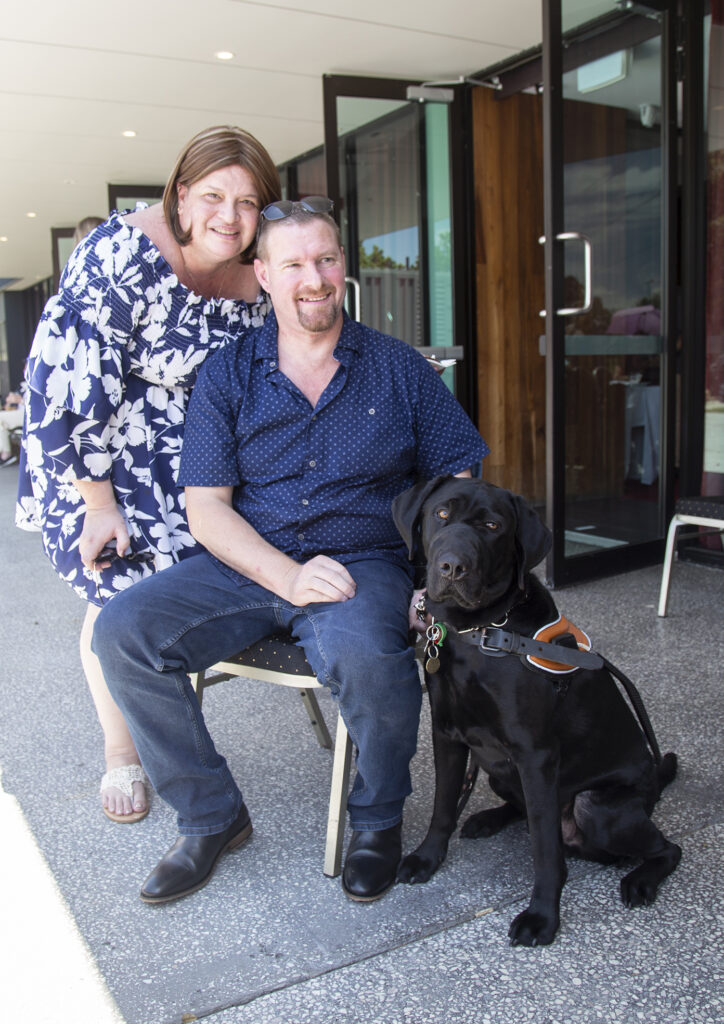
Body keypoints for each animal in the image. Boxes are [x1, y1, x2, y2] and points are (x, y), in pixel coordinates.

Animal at [393, 475, 684, 946]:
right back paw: (488, 819)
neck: (480, 631)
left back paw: (641, 880)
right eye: (441, 514)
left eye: (492, 526)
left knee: (666, 848)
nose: (452, 567)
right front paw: (427, 858)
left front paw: (542, 917)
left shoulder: (536, 755)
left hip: (598, 808)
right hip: (498, 771)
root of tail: (653, 791)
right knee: (520, 809)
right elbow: (442, 806)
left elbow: (546, 852)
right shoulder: (448, 735)